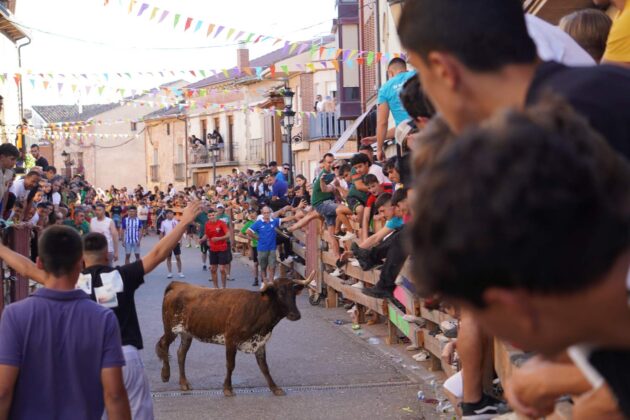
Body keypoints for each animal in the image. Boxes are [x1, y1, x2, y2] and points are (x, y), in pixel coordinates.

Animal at [158, 272, 316, 398]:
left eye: (294, 294)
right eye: (280, 293)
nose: (295, 315)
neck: (258, 309)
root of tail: (178, 285)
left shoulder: (260, 343)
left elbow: (264, 367)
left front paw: (275, 388)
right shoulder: (230, 340)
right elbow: (230, 365)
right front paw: (227, 388)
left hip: (186, 333)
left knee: (181, 353)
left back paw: (184, 383)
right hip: (170, 328)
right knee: (163, 345)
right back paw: (165, 374)